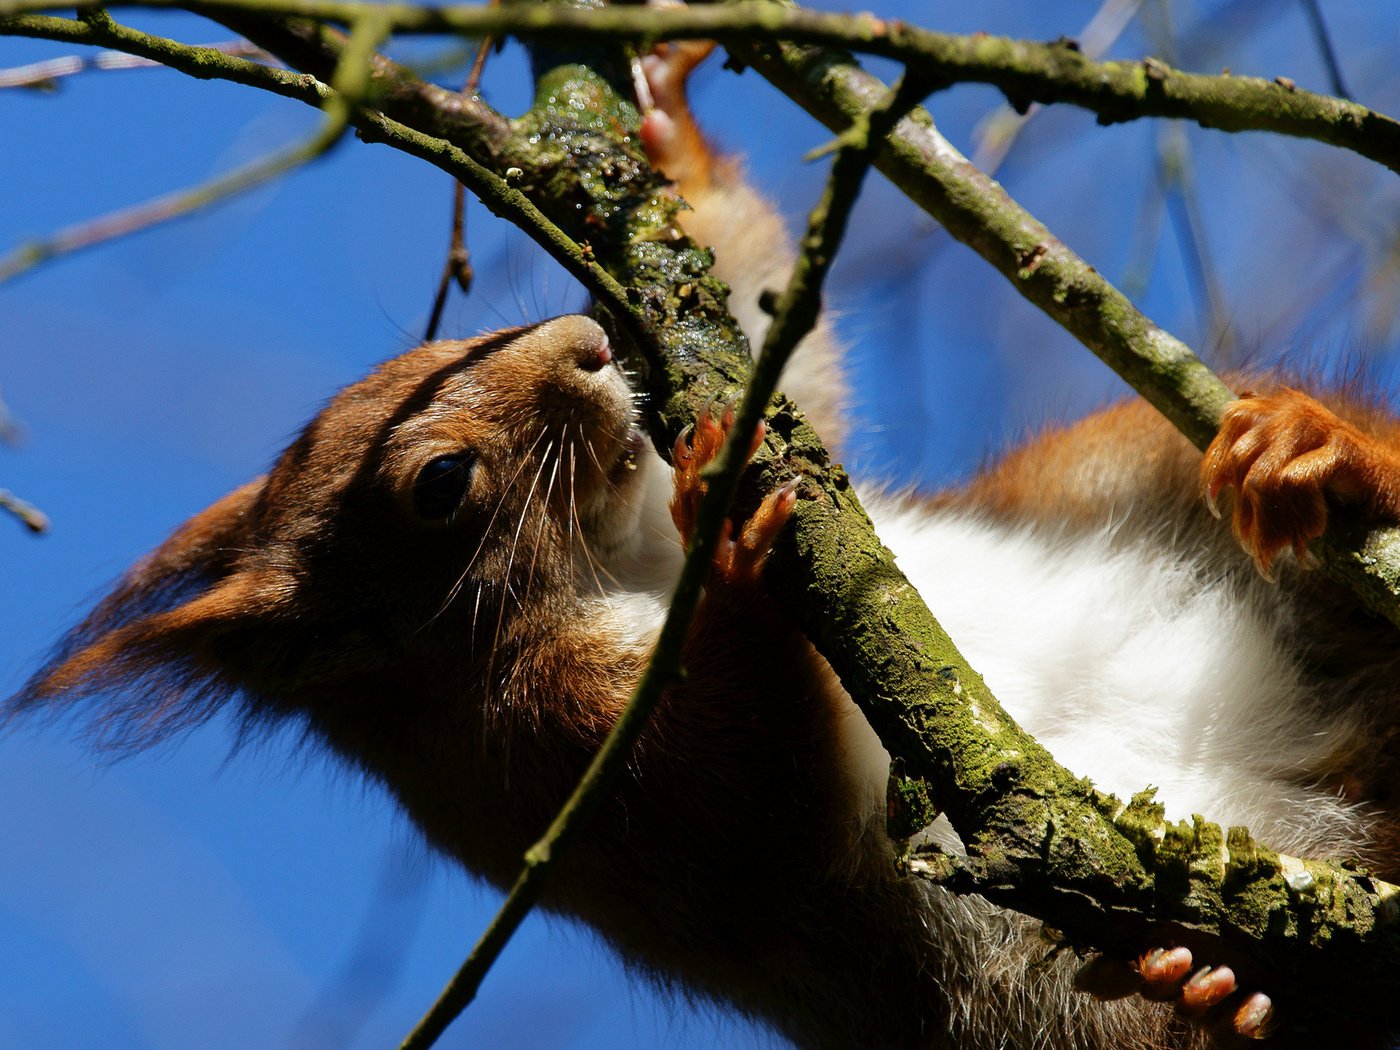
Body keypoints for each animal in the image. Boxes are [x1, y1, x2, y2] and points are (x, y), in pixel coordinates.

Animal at [10, 39, 1400, 1050]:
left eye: (437, 347)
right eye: (441, 484)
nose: (581, 337)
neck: (621, 552)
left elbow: (766, 337)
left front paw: (661, 132)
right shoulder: (562, 763)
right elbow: (749, 796)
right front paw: (731, 576)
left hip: (1132, 465)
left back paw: (1317, 452)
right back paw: (1202, 988)